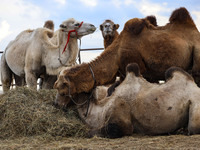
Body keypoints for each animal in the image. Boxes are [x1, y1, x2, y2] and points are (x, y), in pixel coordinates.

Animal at [54, 7, 200, 102]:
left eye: (62, 89)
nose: (56, 104)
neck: (117, 53)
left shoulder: (142, 70)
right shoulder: (124, 73)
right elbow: (110, 90)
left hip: (197, 53)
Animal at [54, 62, 200, 138]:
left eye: (62, 90)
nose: (56, 104)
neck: (99, 110)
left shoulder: (121, 122)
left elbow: (95, 131)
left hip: (195, 108)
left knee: (194, 128)